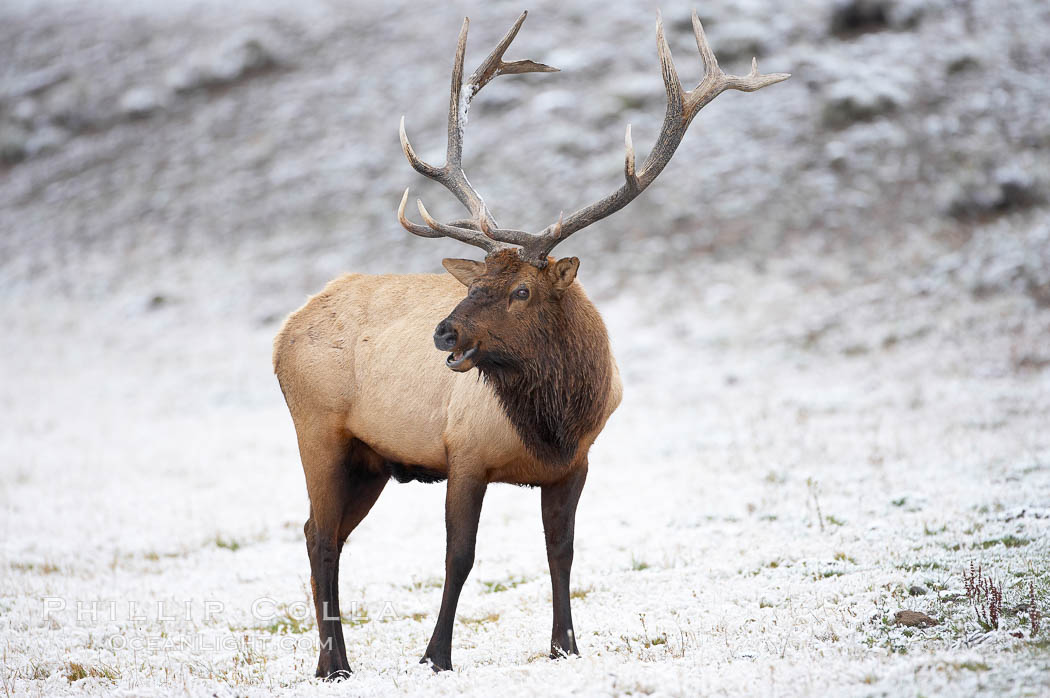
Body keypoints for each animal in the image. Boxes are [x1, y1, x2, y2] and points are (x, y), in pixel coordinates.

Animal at [273, 8, 789, 675]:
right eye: (476, 282)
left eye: (521, 289)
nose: (444, 329)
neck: (553, 421)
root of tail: (284, 332)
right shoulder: (464, 453)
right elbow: (459, 556)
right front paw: (435, 656)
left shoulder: (575, 464)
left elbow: (561, 551)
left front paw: (565, 645)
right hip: (319, 430)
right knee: (322, 536)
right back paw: (333, 663)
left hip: (371, 460)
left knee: (322, 532)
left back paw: (333, 659)